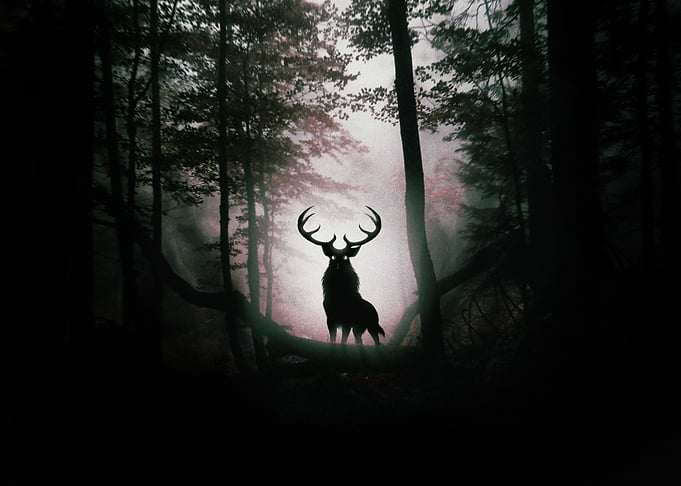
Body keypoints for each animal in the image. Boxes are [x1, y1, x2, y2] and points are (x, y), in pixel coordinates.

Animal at [298, 206, 385, 346]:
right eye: (332, 257)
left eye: (345, 257)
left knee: (376, 340)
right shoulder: (330, 319)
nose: (338, 263)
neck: (339, 298)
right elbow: (333, 340)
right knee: (359, 340)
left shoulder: (347, 321)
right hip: (359, 328)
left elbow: (343, 341)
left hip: (372, 324)